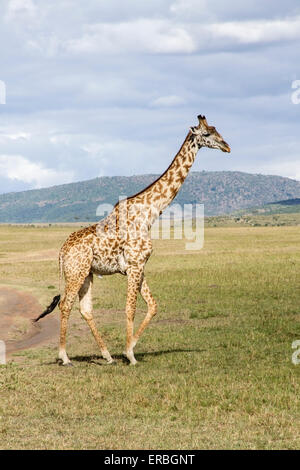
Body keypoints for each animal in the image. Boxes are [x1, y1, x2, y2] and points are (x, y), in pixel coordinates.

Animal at [34, 115, 230, 366]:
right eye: (207, 134)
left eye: (216, 130)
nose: (227, 146)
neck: (150, 212)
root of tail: (61, 252)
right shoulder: (135, 264)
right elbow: (131, 308)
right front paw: (131, 355)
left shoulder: (138, 266)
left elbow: (153, 306)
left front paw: (130, 348)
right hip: (75, 272)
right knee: (65, 304)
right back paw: (65, 357)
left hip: (87, 274)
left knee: (85, 309)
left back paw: (107, 356)